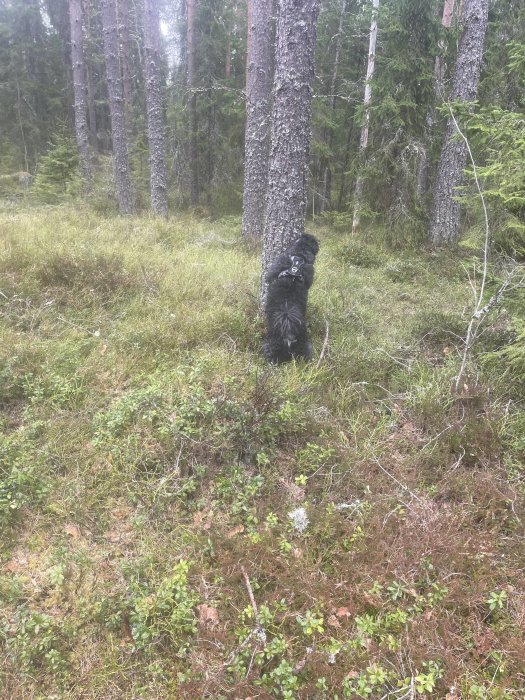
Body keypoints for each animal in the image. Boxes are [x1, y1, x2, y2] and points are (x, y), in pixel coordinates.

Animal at [262, 235, 320, 364]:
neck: (298, 258)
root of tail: (289, 334)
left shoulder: (273, 269)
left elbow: (268, 276)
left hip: (271, 346)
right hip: (304, 346)